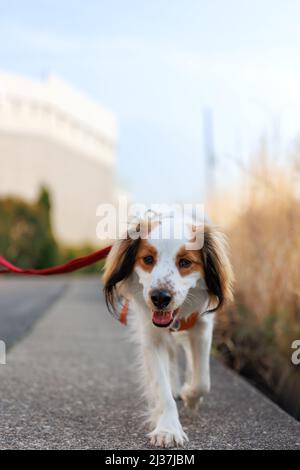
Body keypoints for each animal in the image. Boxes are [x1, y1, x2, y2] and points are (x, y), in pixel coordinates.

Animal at [102, 213, 233, 448]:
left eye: (185, 262)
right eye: (147, 259)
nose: (160, 298)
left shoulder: (202, 328)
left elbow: (203, 381)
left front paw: (190, 395)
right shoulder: (152, 338)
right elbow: (162, 389)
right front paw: (168, 428)